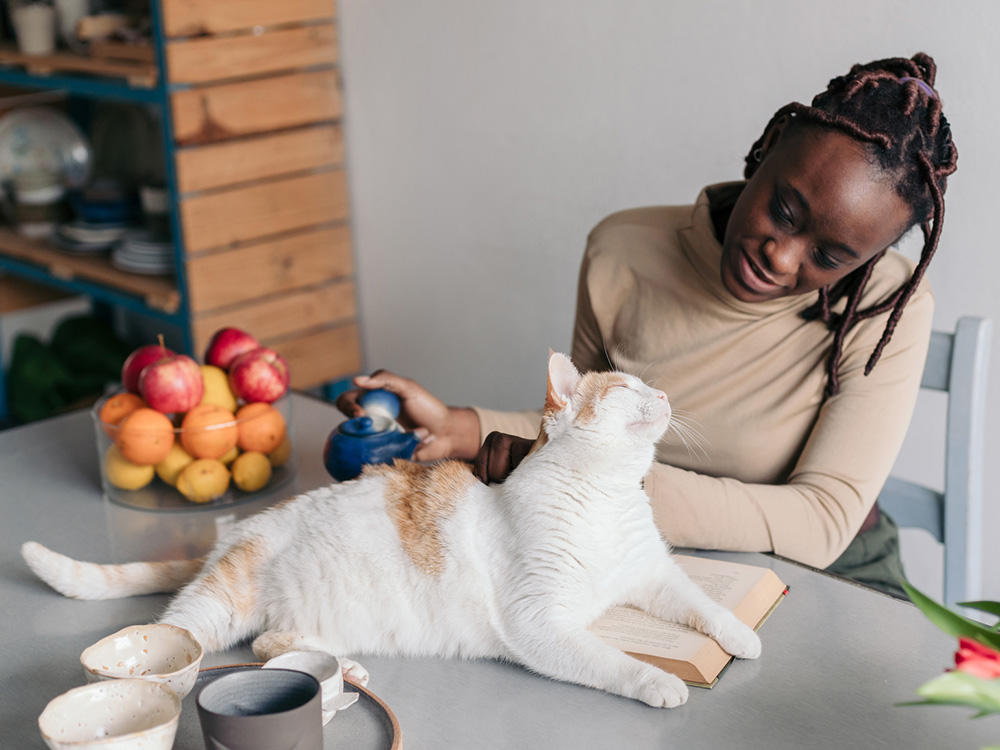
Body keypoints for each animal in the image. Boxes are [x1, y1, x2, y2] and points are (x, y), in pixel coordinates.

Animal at [21, 356, 756, 708]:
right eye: (627, 388)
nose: (663, 396)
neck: (603, 499)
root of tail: (231, 534)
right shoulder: (540, 623)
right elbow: (611, 660)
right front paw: (657, 682)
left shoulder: (652, 574)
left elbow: (702, 602)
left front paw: (741, 636)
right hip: (215, 604)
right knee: (193, 639)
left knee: (268, 643)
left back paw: (337, 666)